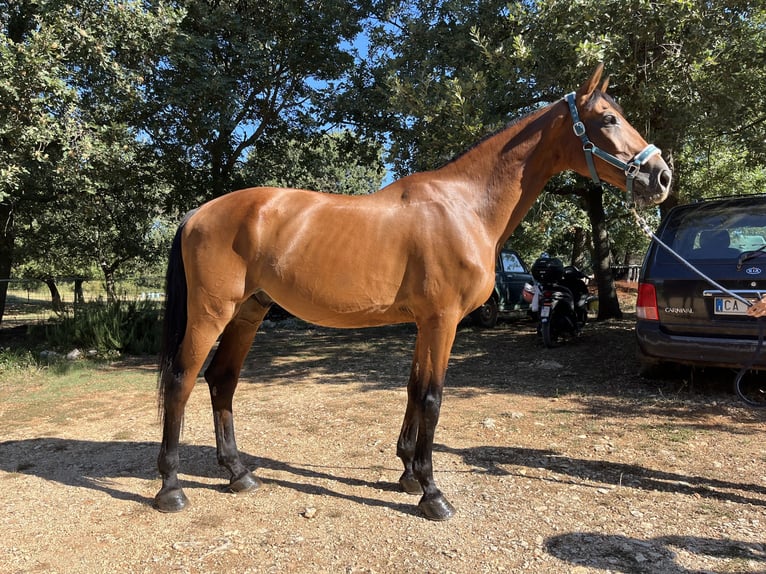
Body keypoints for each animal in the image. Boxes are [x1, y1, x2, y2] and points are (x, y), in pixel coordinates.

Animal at [154, 64, 672, 520]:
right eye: (607, 118)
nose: (662, 176)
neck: (464, 205)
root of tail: (198, 213)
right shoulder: (443, 320)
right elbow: (432, 398)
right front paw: (431, 492)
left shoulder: (426, 321)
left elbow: (413, 389)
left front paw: (406, 473)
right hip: (211, 313)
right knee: (181, 380)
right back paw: (171, 488)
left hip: (248, 312)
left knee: (222, 380)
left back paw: (238, 473)